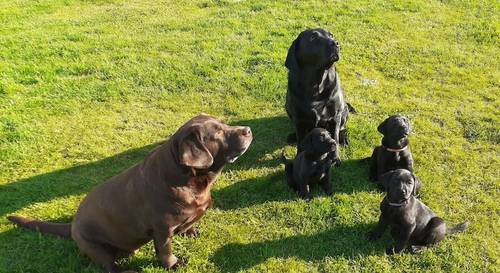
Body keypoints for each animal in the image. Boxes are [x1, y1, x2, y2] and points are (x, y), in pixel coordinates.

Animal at [286, 27, 356, 159]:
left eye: (331, 35)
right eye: (314, 38)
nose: (336, 43)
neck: (315, 84)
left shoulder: (335, 117)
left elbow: (335, 137)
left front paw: (335, 158)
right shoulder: (299, 119)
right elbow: (300, 142)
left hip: (343, 110)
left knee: (342, 129)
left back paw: (344, 139)